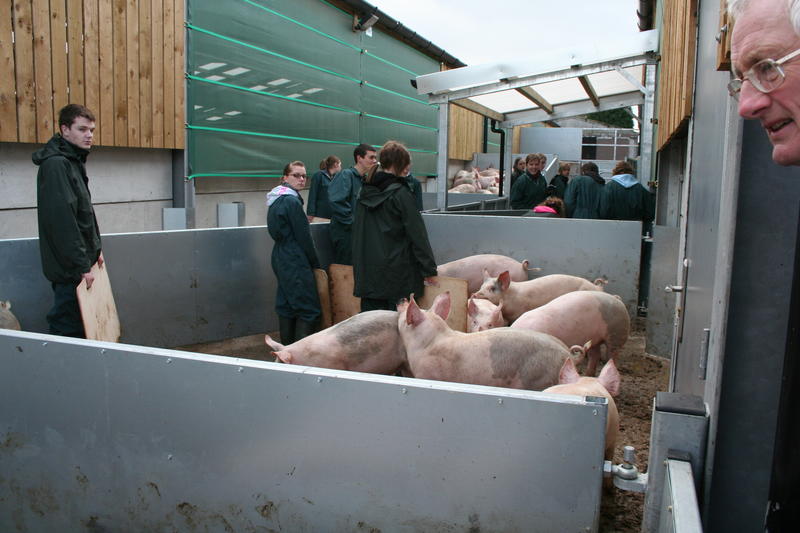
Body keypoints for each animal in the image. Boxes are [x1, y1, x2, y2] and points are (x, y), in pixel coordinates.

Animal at [397, 292, 589, 391]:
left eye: (404, 316)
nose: (402, 300)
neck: (428, 342)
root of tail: (567, 354)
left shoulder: (427, 374)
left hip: (537, 378)